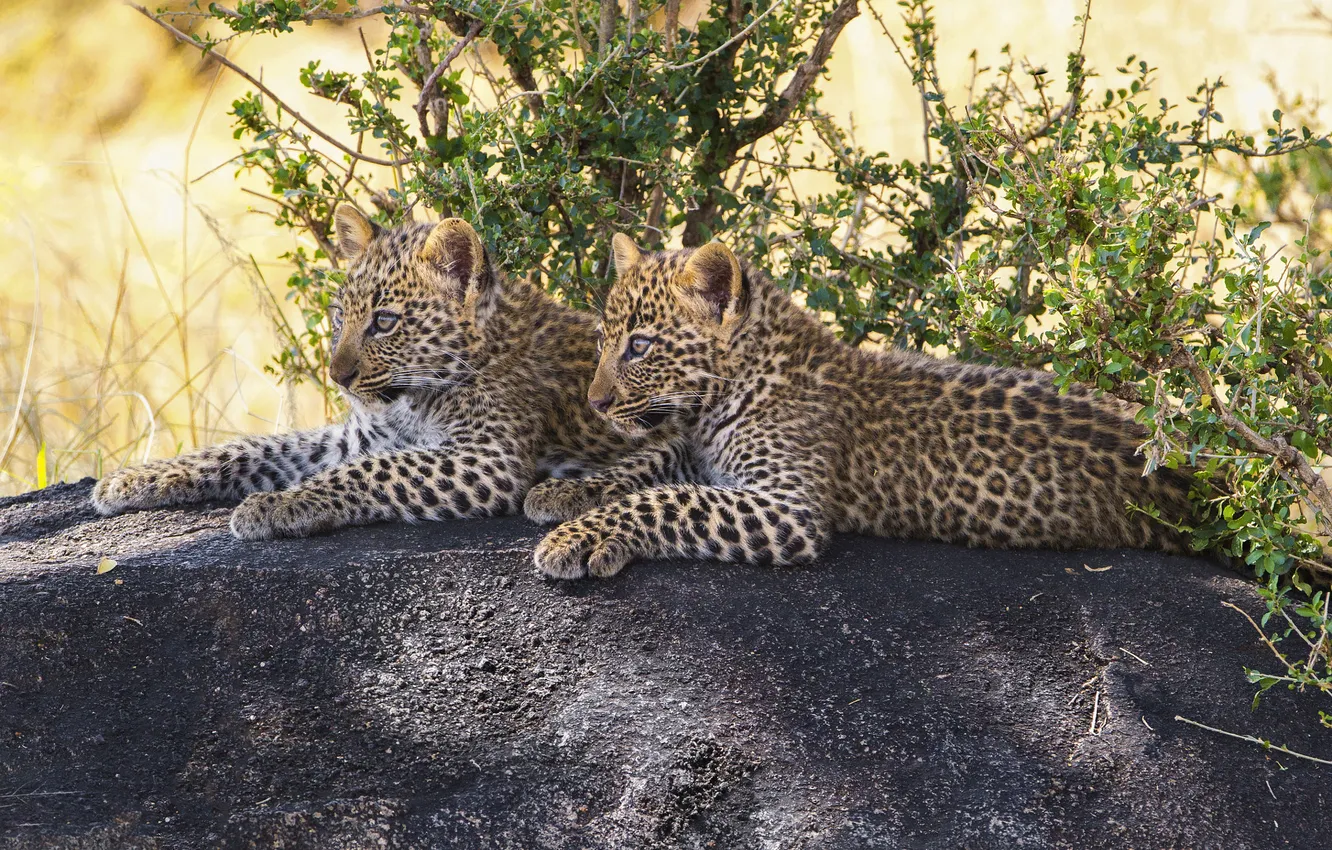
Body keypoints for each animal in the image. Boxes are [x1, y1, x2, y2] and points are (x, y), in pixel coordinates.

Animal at [92, 206, 646, 540]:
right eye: (340, 317)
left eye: (384, 322)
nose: (338, 376)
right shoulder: (358, 438)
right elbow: (250, 448)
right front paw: (133, 477)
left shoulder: (488, 459)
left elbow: (372, 472)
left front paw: (276, 505)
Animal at [529, 235, 1196, 579]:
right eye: (602, 341)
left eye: (639, 347)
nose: (596, 401)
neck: (718, 402)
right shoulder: (704, 456)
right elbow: (649, 464)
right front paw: (563, 493)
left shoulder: (787, 510)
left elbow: (667, 499)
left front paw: (578, 538)